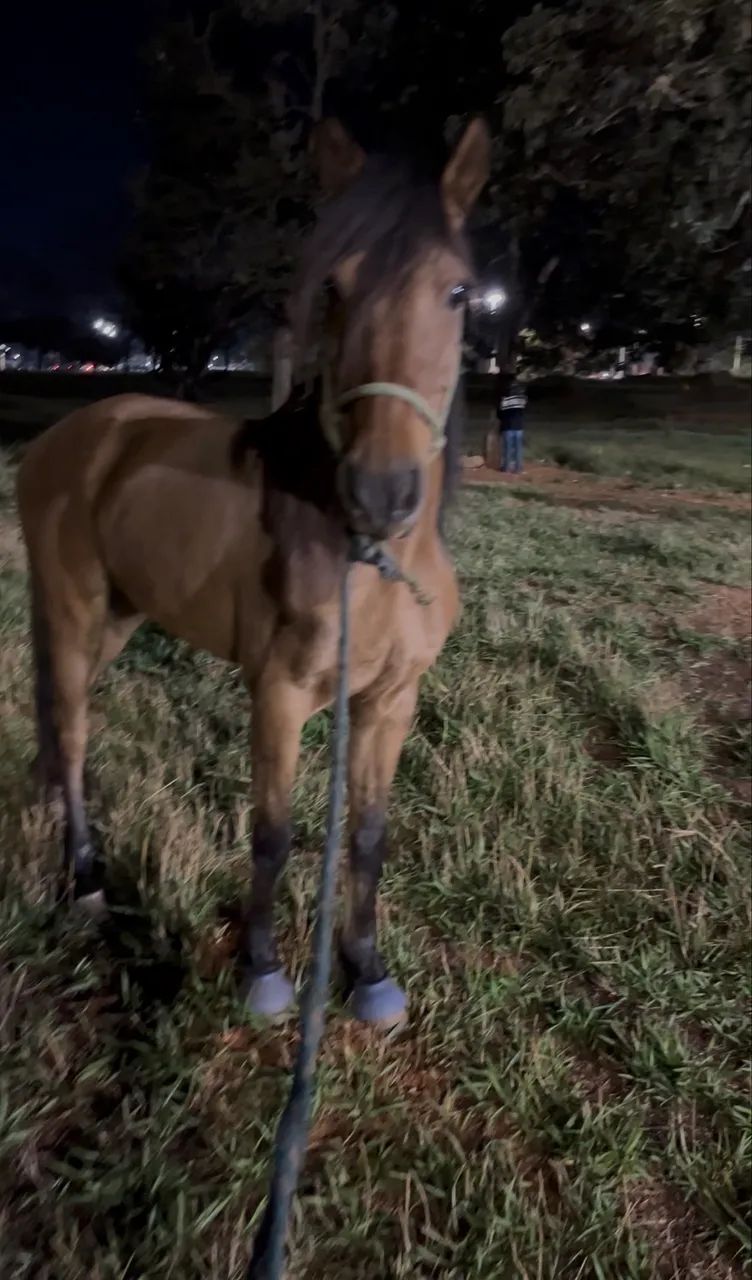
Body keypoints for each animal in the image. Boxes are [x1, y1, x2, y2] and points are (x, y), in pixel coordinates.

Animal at [17, 116, 490, 1027]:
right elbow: (271, 833)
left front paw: (366, 971)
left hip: (122, 615)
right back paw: (85, 878)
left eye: (457, 293)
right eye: (333, 287)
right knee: (75, 727)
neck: (368, 557)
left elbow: (368, 835)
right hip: (71, 609)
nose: (383, 492)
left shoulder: (390, 701)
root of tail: (71, 434)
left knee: (63, 729)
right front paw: (264, 972)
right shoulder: (279, 693)